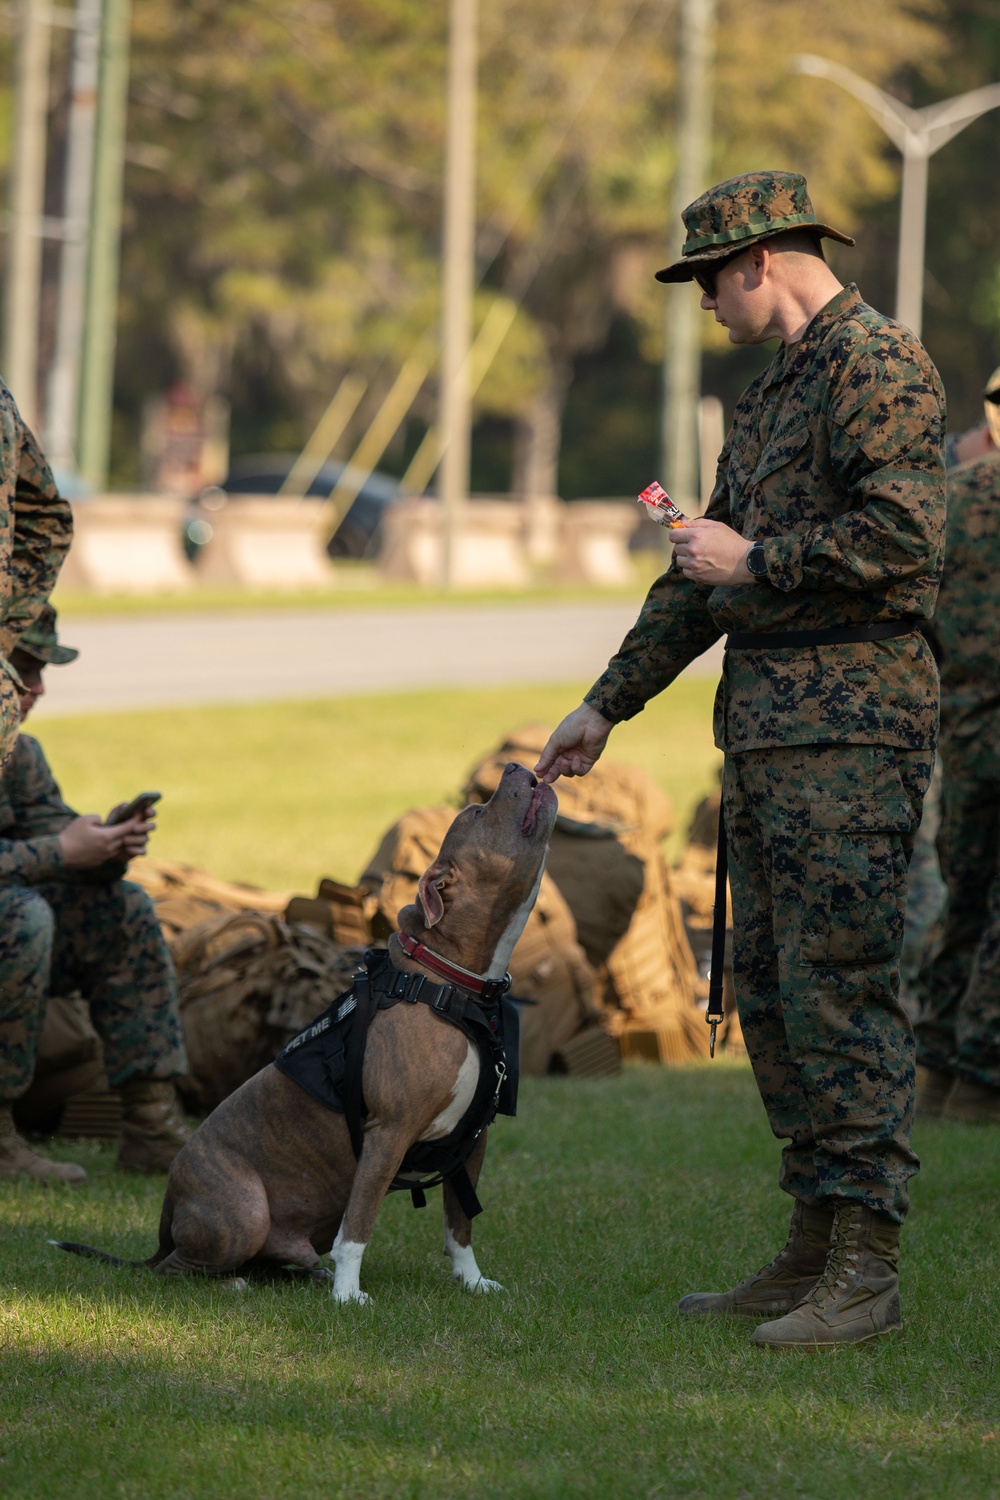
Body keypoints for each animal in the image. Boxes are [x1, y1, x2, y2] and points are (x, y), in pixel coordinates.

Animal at [54, 762, 560, 1302]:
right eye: (480, 812)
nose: (516, 766)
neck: (450, 981)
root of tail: (167, 1211)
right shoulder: (388, 1133)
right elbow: (359, 1224)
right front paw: (348, 1294)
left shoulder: (473, 1139)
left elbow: (459, 1223)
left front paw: (473, 1281)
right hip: (244, 1211)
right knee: (178, 1267)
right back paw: (232, 1283)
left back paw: (302, 1274)